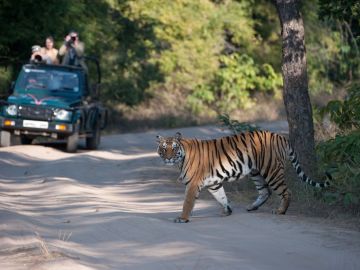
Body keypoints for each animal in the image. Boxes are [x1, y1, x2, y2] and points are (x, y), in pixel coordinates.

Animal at [156, 130, 330, 223]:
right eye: (164, 149)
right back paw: (252, 207)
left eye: (173, 148)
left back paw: (280, 211)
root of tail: (281, 136)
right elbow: (222, 197)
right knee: (265, 191)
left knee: (286, 191)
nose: (168, 158)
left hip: (271, 170)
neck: (182, 156)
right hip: (256, 172)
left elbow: (187, 202)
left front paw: (182, 218)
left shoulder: (193, 184)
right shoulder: (214, 184)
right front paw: (227, 211)